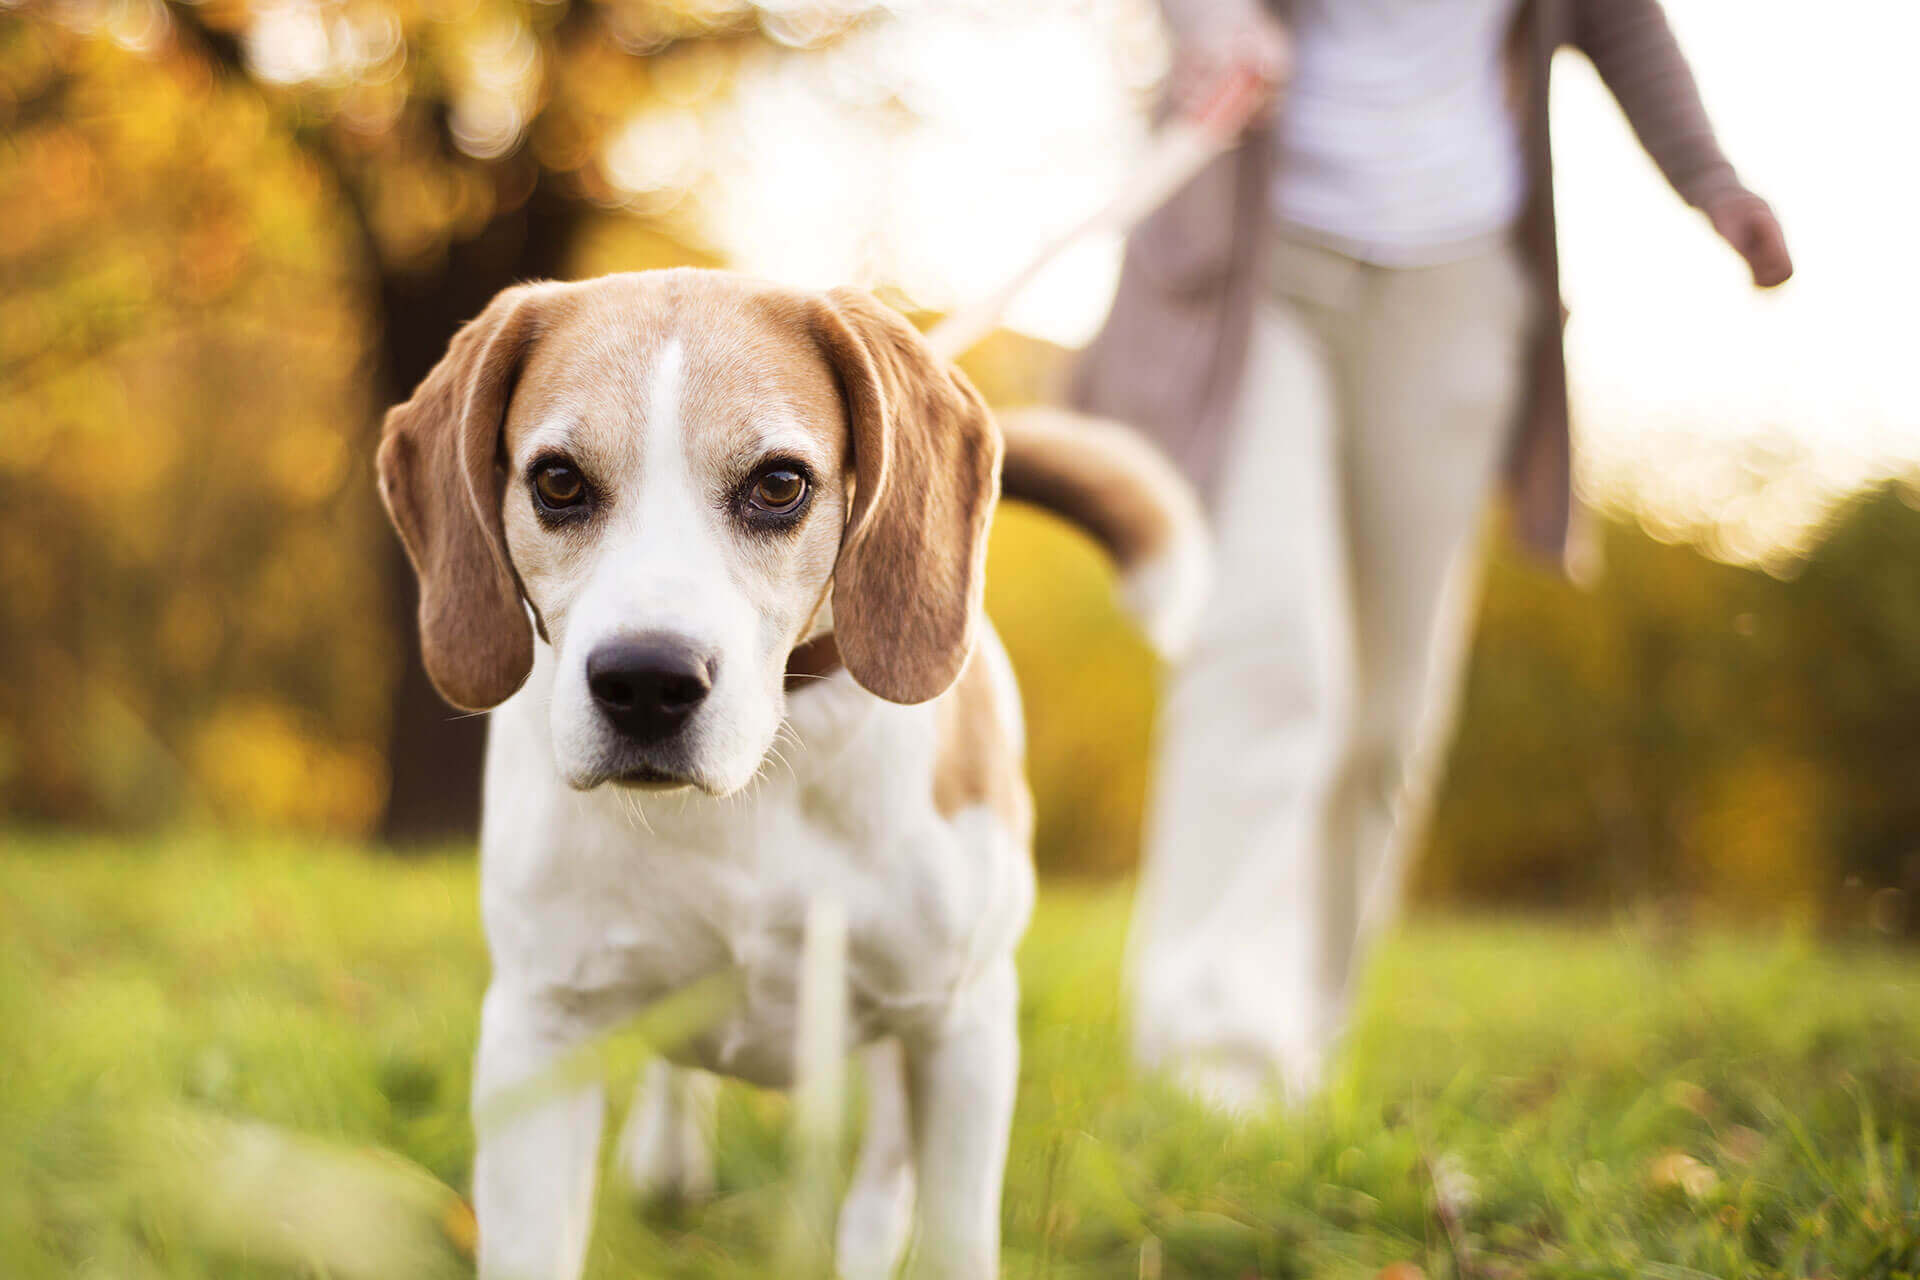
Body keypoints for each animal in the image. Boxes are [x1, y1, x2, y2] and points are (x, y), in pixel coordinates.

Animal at [380, 264, 1205, 1274]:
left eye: (779, 484)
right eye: (558, 481)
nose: (646, 681)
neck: (759, 781)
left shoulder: (961, 1028)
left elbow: (955, 1238)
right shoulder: (539, 1032)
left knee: (885, 1173)